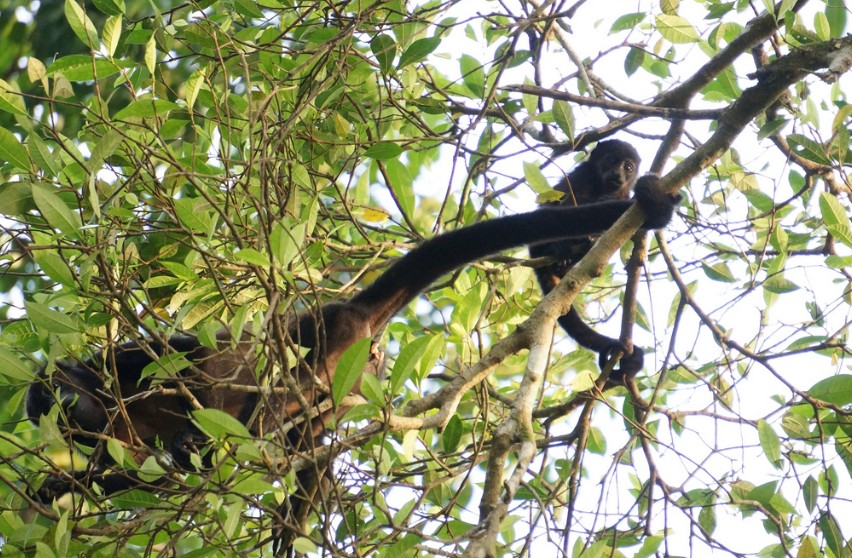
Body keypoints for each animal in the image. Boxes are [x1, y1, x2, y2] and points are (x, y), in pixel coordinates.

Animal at [26, 176, 679, 553]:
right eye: (46, 414)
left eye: (54, 395)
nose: (67, 410)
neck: (105, 401)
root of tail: (358, 314)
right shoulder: (111, 432)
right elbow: (140, 475)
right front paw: (57, 485)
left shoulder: (118, 365)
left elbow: (179, 355)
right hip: (343, 392)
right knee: (305, 436)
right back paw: (287, 502)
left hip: (324, 336)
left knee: (271, 370)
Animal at [528, 139, 650, 382]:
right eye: (611, 160)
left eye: (628, 167)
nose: (619, 174)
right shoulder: (581, 174)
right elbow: (560, 200)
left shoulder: (625, 193)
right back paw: (560, 248)